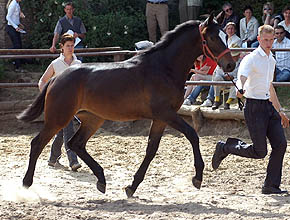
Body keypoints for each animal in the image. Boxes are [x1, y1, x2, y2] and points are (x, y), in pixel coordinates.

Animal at [17, 14, 236, 198]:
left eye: (225, 35)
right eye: (213, 38)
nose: (230, 65)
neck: (163, 68)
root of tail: (56, 78)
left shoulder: (160, 118)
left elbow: (151, 150)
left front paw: (131, 187)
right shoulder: (167, 114)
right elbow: (192, 135)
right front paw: (197, 177)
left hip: (93, 118)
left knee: (75, 143)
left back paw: (101, 180)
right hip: (59, 118)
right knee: (38, 143)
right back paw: (26, 184)